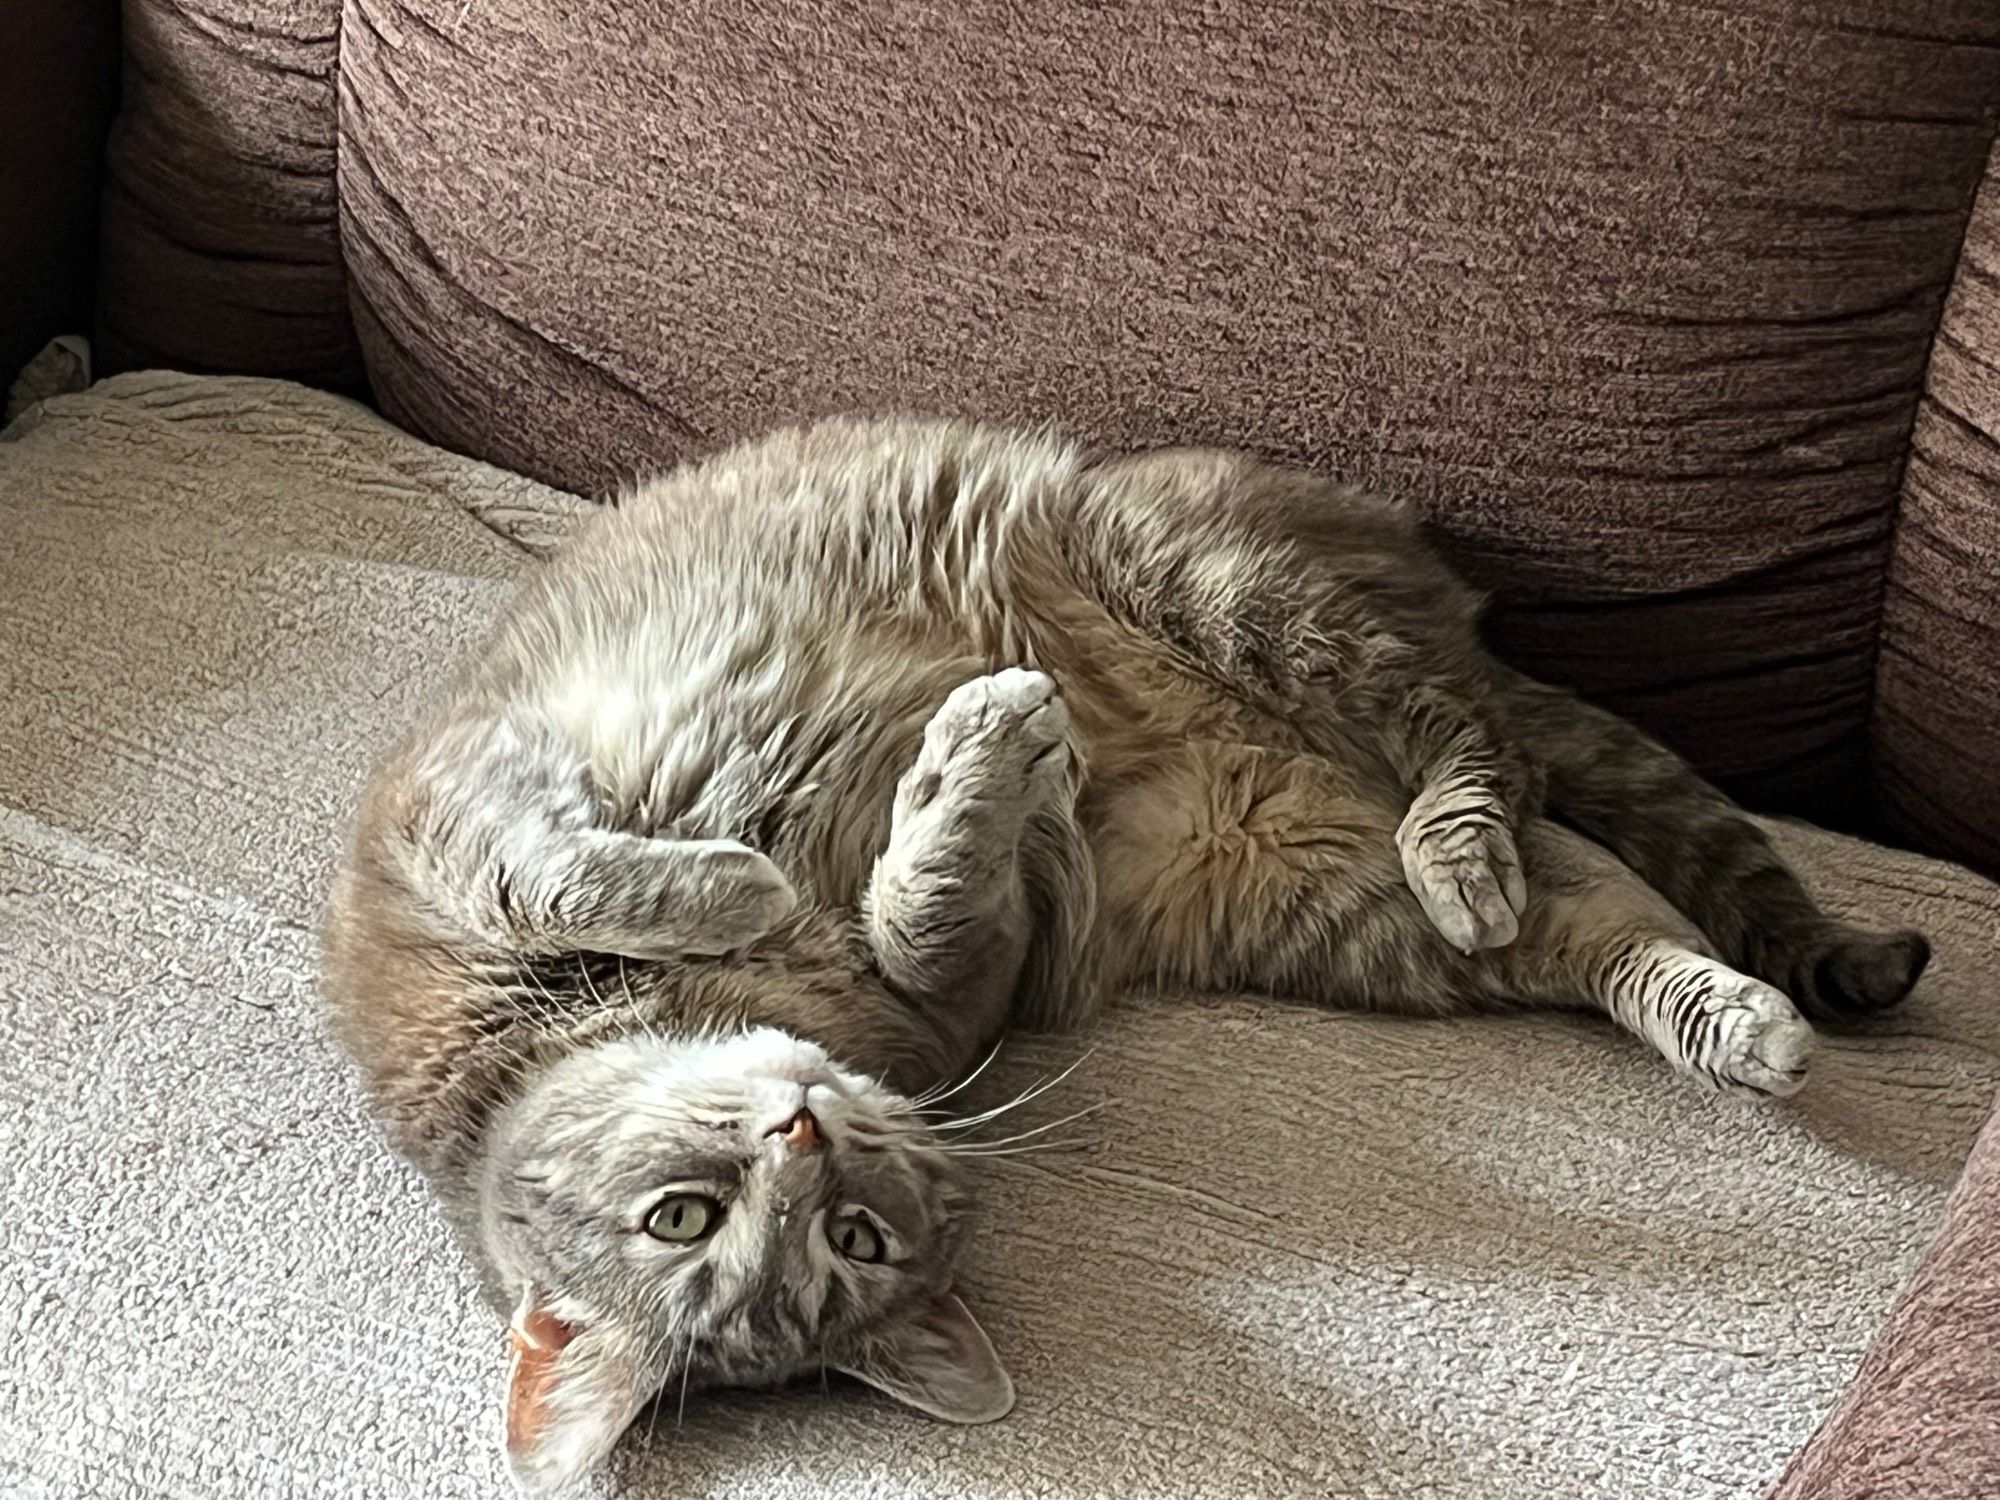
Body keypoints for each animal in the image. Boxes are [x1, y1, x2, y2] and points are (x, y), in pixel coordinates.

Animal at [320, 412, 1928, 1496]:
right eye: (847, 1245)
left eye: (680, 1217)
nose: (804, 1131)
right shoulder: (987, 977)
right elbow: (928, 903)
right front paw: (967, 790)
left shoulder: (443, 814)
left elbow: (579, 871)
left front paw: (771, 864)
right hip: (1331, 907)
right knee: (1588, 909)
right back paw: (1729, 1021)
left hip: (1217, 587)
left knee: (1474, 742)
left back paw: (1455, 837)